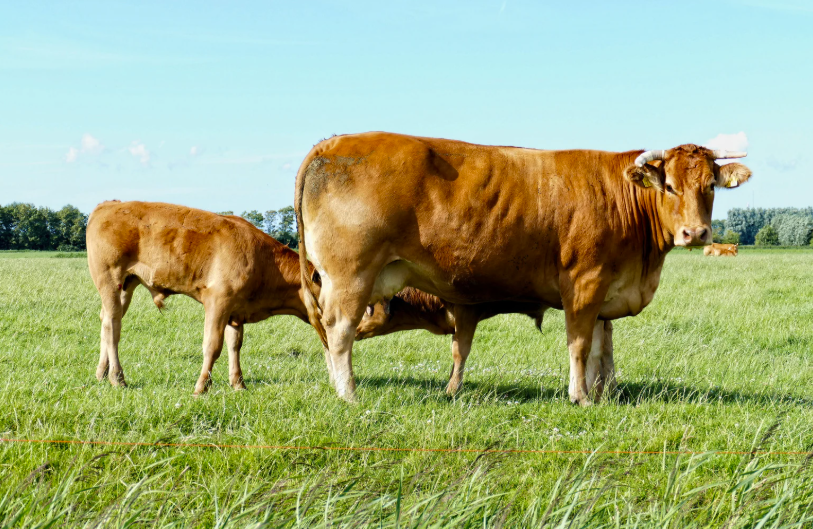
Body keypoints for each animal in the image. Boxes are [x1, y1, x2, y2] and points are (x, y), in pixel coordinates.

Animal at [86, 200, 313, 394]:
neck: (266, 261)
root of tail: (110, 204)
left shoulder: (235, 311)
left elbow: (234, 345)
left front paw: (238, 384)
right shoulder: (218, 301)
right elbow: (212, 345)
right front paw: (202, 387)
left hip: (126, 286)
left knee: (106, 320)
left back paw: (102, 373)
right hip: (109, 280)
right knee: (112, 326)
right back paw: (117, 377)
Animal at [355, 287, 570, 396]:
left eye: (366, 308)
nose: (352, 330)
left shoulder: (467, 312)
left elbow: (460, 352)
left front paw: (452, 390)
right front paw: (452, 382)